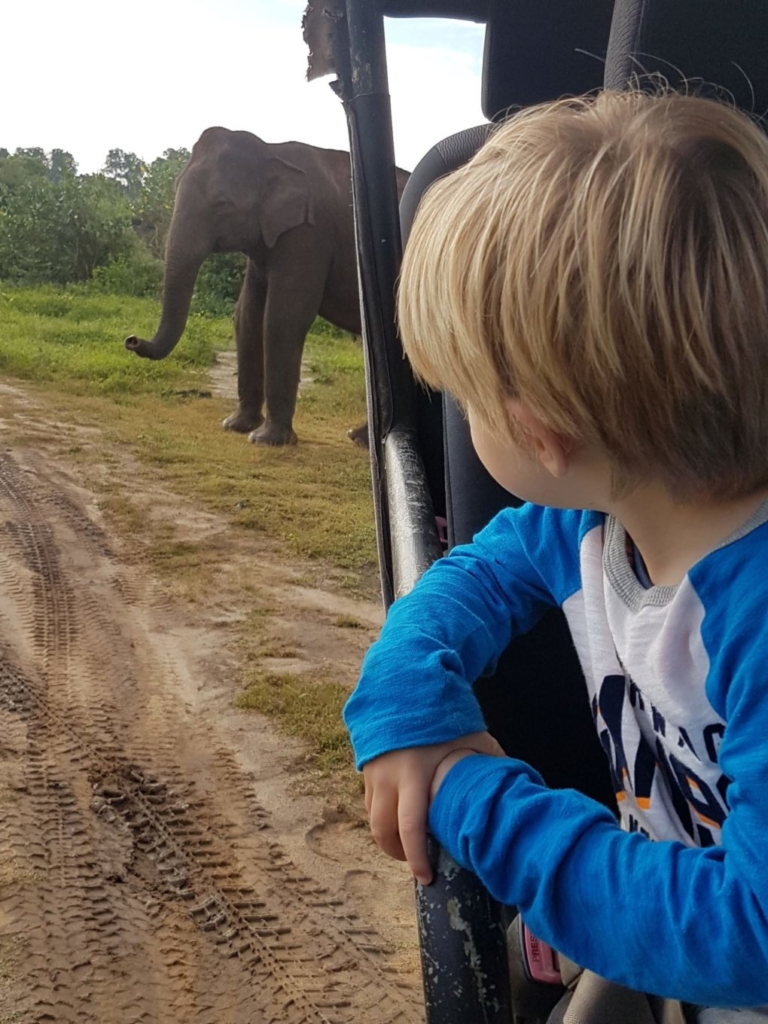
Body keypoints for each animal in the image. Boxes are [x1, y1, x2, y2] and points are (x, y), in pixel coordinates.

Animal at [125, 125, 411, 446]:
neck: (273, 152)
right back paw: (358, 437)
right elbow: (247, 315)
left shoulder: (309, 234)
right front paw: (236, 425)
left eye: (223, 204)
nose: (132, 339)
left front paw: (266, 439)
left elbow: (282, 317)